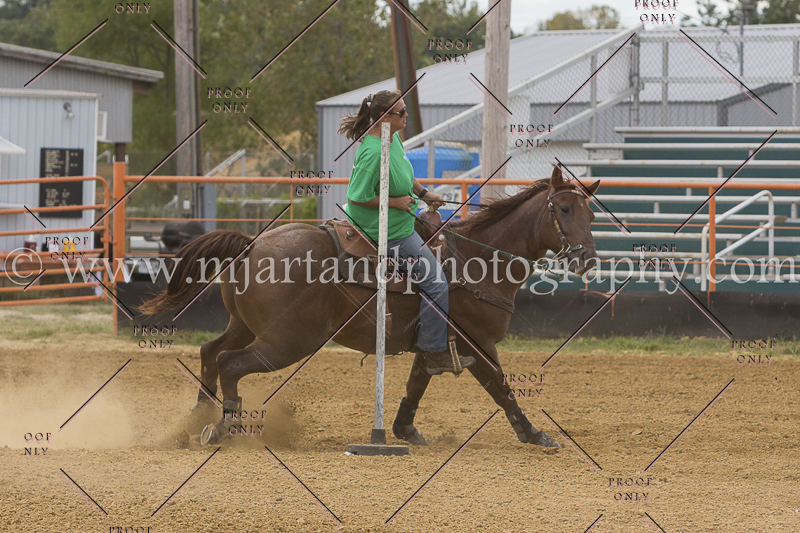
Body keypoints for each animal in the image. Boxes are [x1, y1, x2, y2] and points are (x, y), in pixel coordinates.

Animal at [138, 166, 599, 448]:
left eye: (591, 213)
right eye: (562, 208)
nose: (588, 259)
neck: (478, 258)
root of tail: (252, 244)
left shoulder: (433, 344)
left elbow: (417, 385)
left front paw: (405, 430)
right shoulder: (477, 343)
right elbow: (502, 389)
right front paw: (535, 434)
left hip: (246, 326)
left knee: (210, 353)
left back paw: (194, 421)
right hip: (287, 342)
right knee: (230, 363)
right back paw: (223, 427)